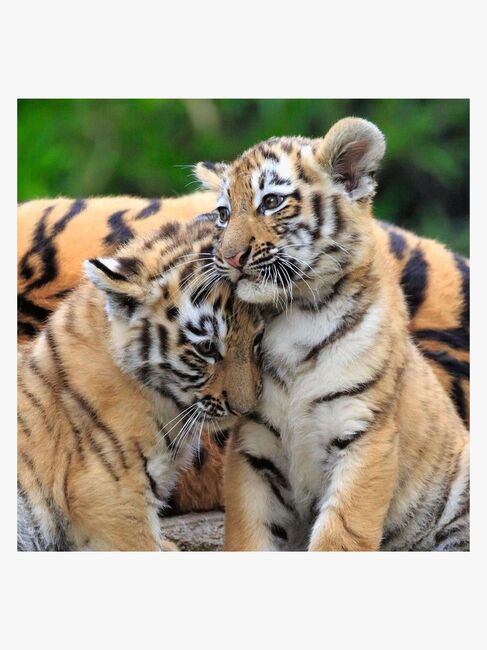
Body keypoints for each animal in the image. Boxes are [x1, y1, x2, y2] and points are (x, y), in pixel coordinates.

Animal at [195, 116, 470, 551]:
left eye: (270, 202)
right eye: (223, 213)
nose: (229, 257)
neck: (292, 314)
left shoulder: (365, 432)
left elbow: (342, 533)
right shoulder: (252, 447)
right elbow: (248, 534)